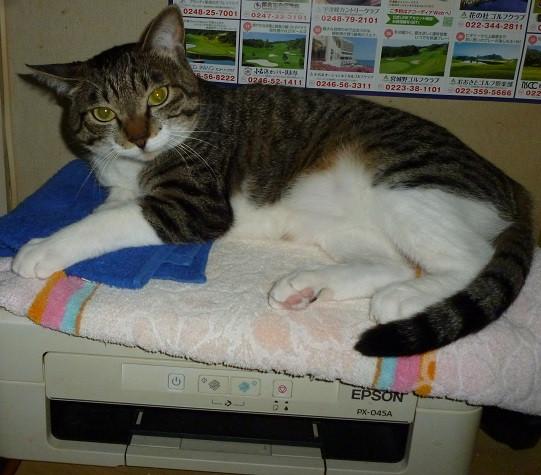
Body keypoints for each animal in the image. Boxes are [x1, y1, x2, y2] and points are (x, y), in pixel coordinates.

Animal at [14, 6, 534, 357]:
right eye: (103, 113)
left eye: (158, 96)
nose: (139, 139)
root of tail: (509, 181)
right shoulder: (122, 181)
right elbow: (111, 205)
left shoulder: (196, 206)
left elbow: (108, 221)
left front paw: (44, 247)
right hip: (344, 225)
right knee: (395, 261)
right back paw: (309, 285)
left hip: (406, 185)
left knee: (470, 257)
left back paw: (403, 297)